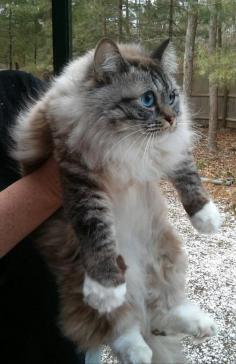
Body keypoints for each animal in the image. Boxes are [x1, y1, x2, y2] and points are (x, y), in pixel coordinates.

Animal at [12, 38, 221, 362]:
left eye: (172, 96)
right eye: (147, 100)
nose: (173, 118)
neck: (129, 142)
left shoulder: (168, 150)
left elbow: (188, 175)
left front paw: (206, 218)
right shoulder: (79, 174)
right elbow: (96, 232)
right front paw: (106, 285)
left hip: (168, 256)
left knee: (162, 310)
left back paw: (199, 325)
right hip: (80, 278)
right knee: (121, 326)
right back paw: (137, 349)